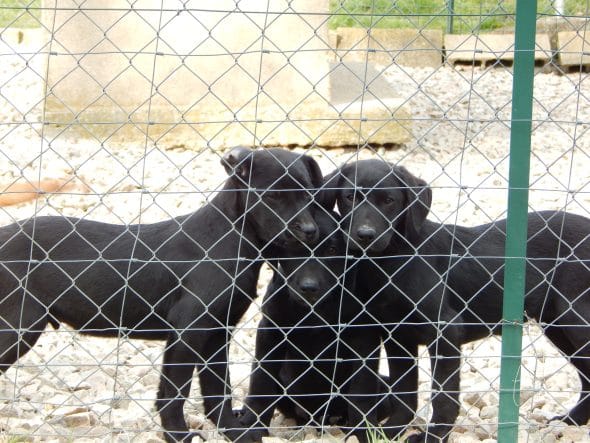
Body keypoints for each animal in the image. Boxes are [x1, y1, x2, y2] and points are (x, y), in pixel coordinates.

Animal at [0, 147, 324, 442]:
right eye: (272, 195)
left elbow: (218, 390)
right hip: (19, 327)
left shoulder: (217, 333)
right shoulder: (188, 331)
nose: (310, 231)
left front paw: (235, 433)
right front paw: (178, 435)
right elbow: (175, 392)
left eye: (309, 195)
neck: (233, 236)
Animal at [240, 208, 394, 440]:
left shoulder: (363, 336)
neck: (315, 311)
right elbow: (260, 381)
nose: (309, 287)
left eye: (332, 249)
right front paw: (252, 427)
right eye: (295, 248)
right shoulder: (270, 331)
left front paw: (365, 432)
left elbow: (361, 390)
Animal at [324, 160, 590, 443]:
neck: (392, 259)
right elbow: (404, 392)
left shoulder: (445, 330)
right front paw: (391, 431)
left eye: (389, 201)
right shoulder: (398, 336)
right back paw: (572, 420)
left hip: (575, 321)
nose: (365, 235)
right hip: (558, 326)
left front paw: (433, 436)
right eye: (350, 197)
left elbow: (443, 396)